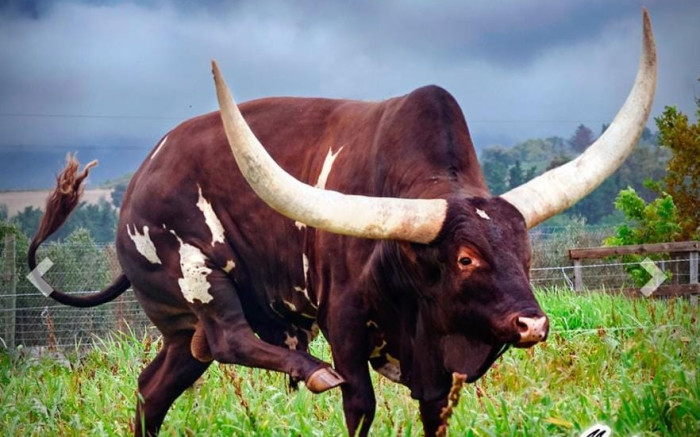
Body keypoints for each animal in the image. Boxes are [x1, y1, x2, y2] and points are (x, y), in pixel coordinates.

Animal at [28, 9, 656, 437]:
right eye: (465, 257)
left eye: (525, 255)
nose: (533, 324)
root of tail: (138, 184)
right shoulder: (346, 327)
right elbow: (360, 406)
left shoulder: (437, 374)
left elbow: (433, 415)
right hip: (195, 271)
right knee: (230, 336)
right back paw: (311, 370)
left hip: (182, 334)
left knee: (152, 389)